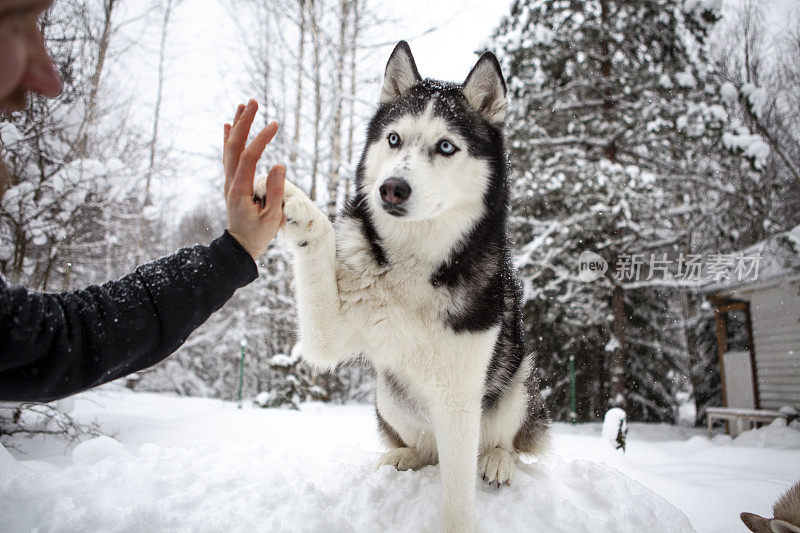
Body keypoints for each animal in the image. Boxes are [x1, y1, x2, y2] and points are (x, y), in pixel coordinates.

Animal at [260, 42, 552, 532]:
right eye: (394, 139)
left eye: (446, 146)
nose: (391, 188)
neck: (415, 262)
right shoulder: (329, 333)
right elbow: (320, 246)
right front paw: (297, 206)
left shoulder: (459, 400)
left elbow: (458, 499)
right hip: (388, 394)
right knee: (426, 450)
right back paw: (402, 457)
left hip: (519, 379)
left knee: (502, 444)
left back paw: (496, 461)